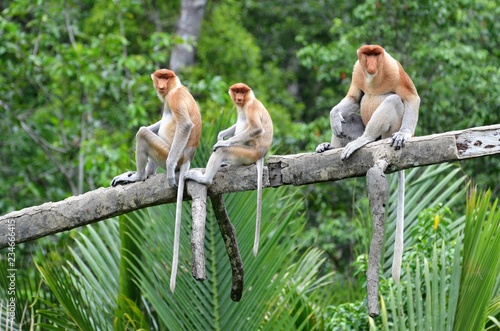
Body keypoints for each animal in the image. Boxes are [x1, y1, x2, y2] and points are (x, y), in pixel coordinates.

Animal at [186, 83, 276, 256]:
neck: (247, 101)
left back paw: (205, 178)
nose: (239, 97)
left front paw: (222, 142)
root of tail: (261, 154)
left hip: (246, 152)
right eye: (237, 91)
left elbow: (256, 129)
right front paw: (221, 134)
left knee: (224, 151)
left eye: (243, 92)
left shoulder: (250, 107)